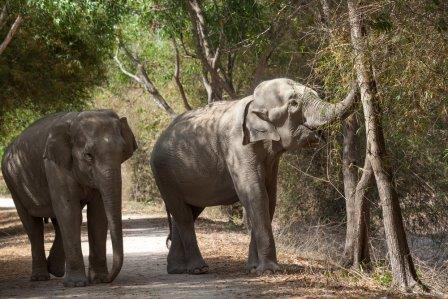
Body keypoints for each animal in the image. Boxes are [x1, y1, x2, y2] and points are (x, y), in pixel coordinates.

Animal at [0, 110, 136, 288]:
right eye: (88, 155)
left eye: (122, 152)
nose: (109, 279)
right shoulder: (55, 165)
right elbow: (69, 212)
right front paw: (76, 284)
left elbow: (97, 215)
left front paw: (98, 279)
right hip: (13, 182)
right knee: (33, 225)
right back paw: (40, 277)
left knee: (59, 222)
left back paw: (55, 270)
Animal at [150, 78, 356, 276]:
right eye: (294, 104)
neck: (253, 102)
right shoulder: (237, 147)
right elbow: (255, 195)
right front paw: (269, 270)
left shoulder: (271, 159)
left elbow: (270, 197)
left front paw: (253, 268)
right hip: (163, 174)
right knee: (183, 215)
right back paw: (198, 269)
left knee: (187, 213)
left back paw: (177, 269)